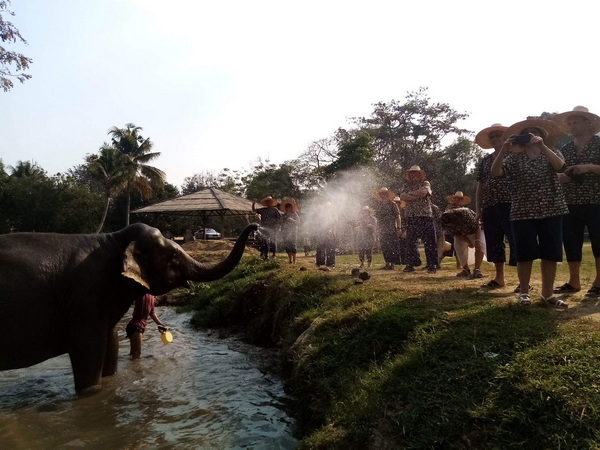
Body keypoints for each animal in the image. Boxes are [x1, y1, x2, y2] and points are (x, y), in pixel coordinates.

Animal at [0, 222, 258, 394]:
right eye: (173, 257)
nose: (255, 225)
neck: (113, 239)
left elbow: (110, 338)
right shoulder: (86, 294)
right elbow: (88, 347)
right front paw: (91, 394)